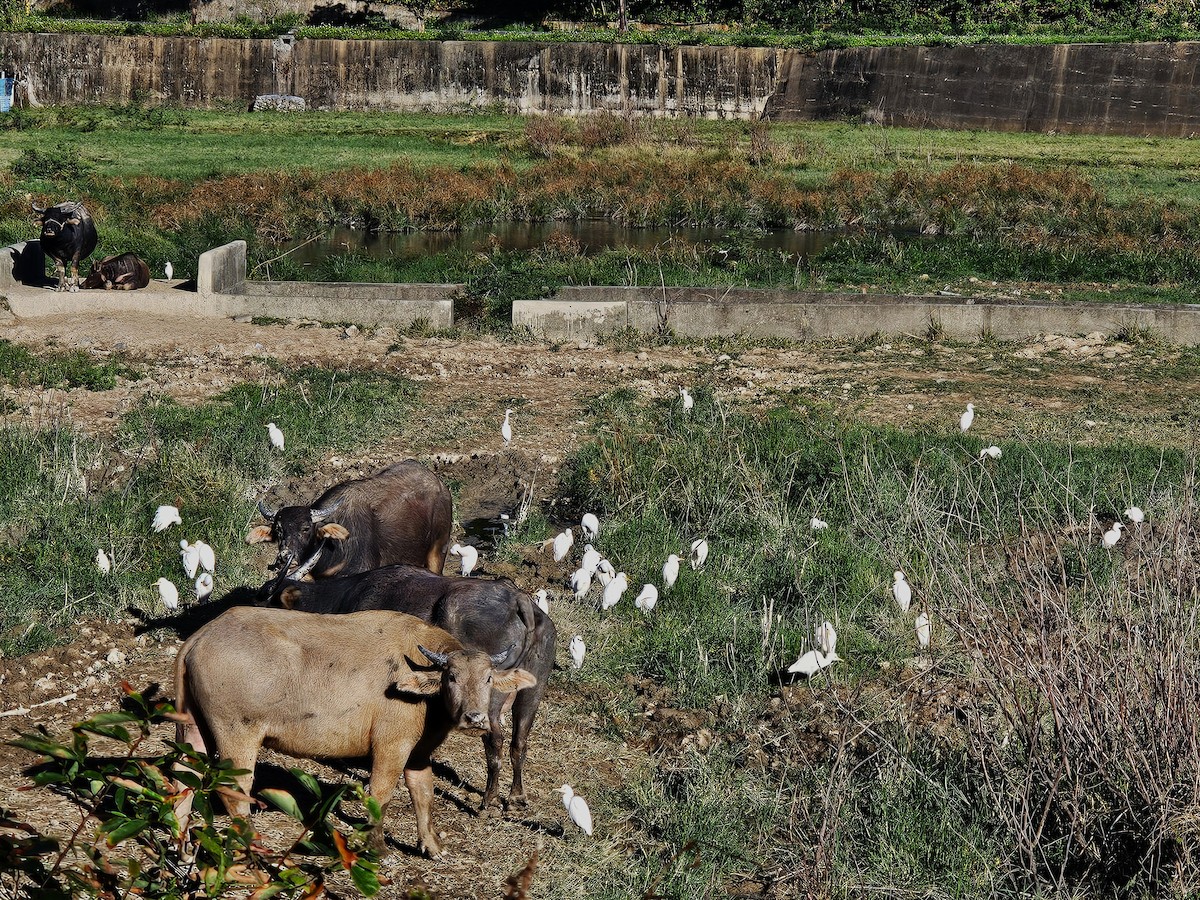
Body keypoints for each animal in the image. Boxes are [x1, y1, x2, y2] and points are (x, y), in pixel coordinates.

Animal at [174, 606, 536, 856]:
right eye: (452, 677)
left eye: (487, 678)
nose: (475, 717)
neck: (421, 688)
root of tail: (202, 636)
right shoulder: (391, 746)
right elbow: (381, 794)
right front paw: (378, 848)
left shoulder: (418, 754)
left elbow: (424, 794)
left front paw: (431, 845)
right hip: (238, 733)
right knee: (234, 788)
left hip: (192, 726)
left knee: (184, 777)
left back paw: (181, 841)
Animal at [263, 564, 556, 812]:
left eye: (266, 599)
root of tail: (518, 600)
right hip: (532, 693)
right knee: (519, 741)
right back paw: (516, 797)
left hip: (491, 700)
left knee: (495, 740)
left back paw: (488, 800)